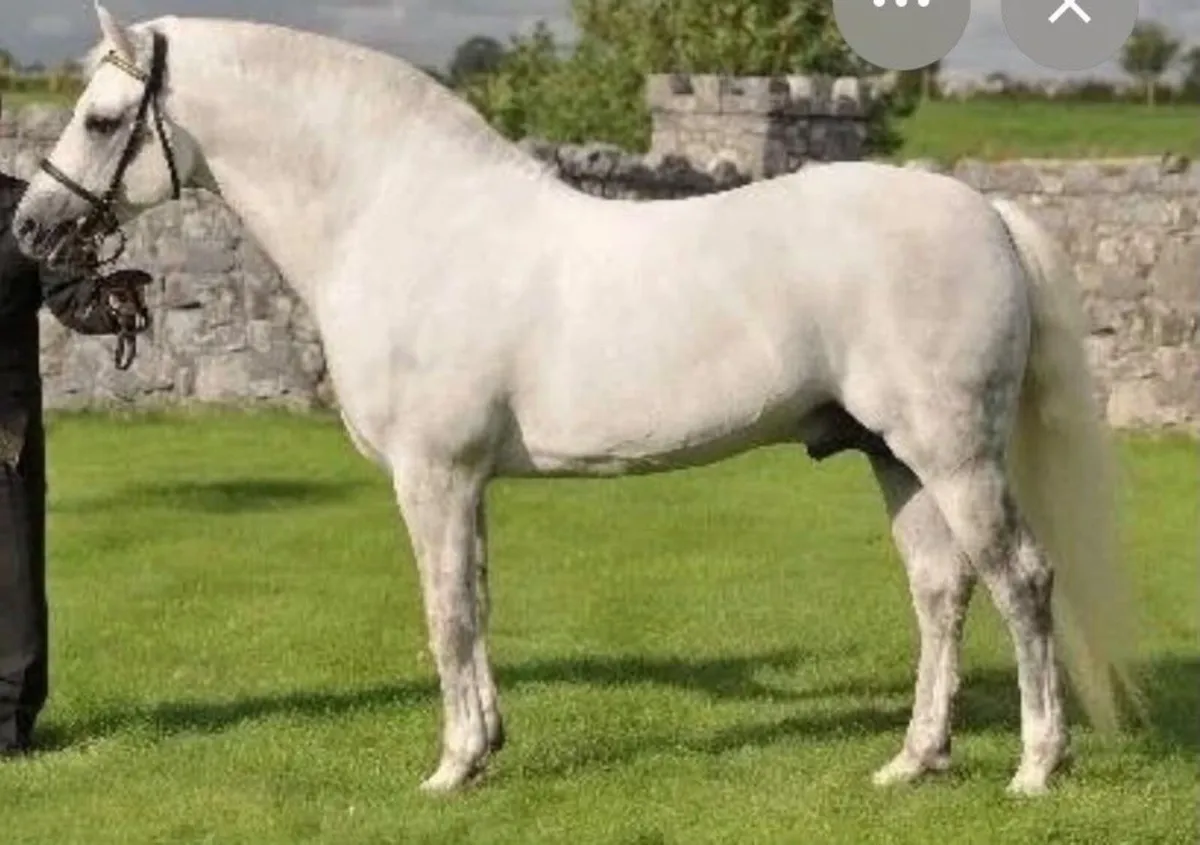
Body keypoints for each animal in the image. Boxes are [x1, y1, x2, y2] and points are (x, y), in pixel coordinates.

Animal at [12, 5, 1139, 796]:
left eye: (102, 118)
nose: (29, 227)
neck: (399, 218)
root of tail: (985, 209)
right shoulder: (465, 479)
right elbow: (476, 603)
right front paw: (484, 748)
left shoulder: (434, 472)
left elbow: (446, 611)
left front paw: (450, 767)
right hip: (892, 454)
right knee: (941, 590)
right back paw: (914, 760)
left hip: (952, 451)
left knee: (1023, 579)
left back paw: (1036, 765)